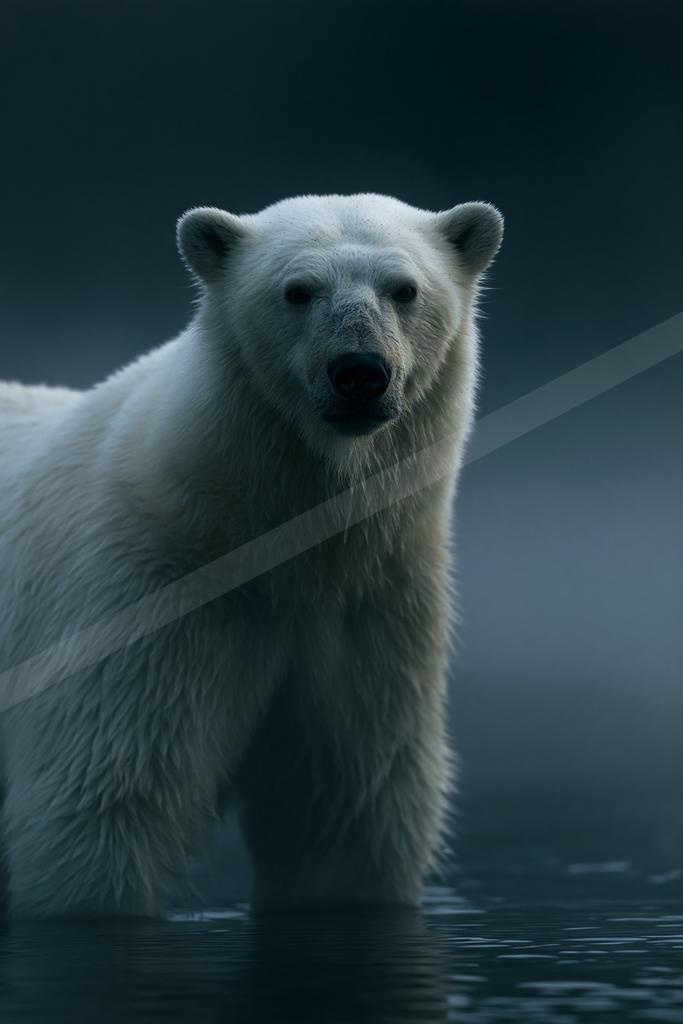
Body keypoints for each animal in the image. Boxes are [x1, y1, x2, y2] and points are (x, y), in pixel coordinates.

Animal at [0, 192, 503, 918]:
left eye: (404, 289)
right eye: (297, 290)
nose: (359, 371)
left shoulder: (368, 617)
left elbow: (342, 813)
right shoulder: (143, 601)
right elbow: (103, 800)